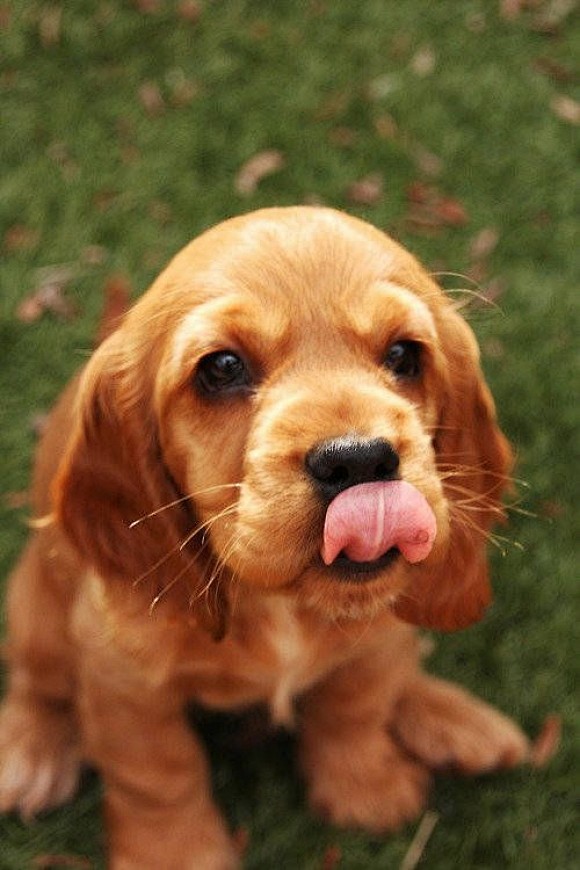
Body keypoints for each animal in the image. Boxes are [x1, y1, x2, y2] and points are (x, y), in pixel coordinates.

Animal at [0, 208, 532, 868]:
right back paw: (29, 753)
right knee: (37, 680)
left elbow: (356, 704)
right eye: (222, 368)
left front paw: (366, 788)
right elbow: (158, 773)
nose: (358, 460)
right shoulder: (123, 677)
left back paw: (457, 722)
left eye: (405, 355)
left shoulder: (379, 632)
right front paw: (177, 854)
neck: (282, 603)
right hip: (36, 610)